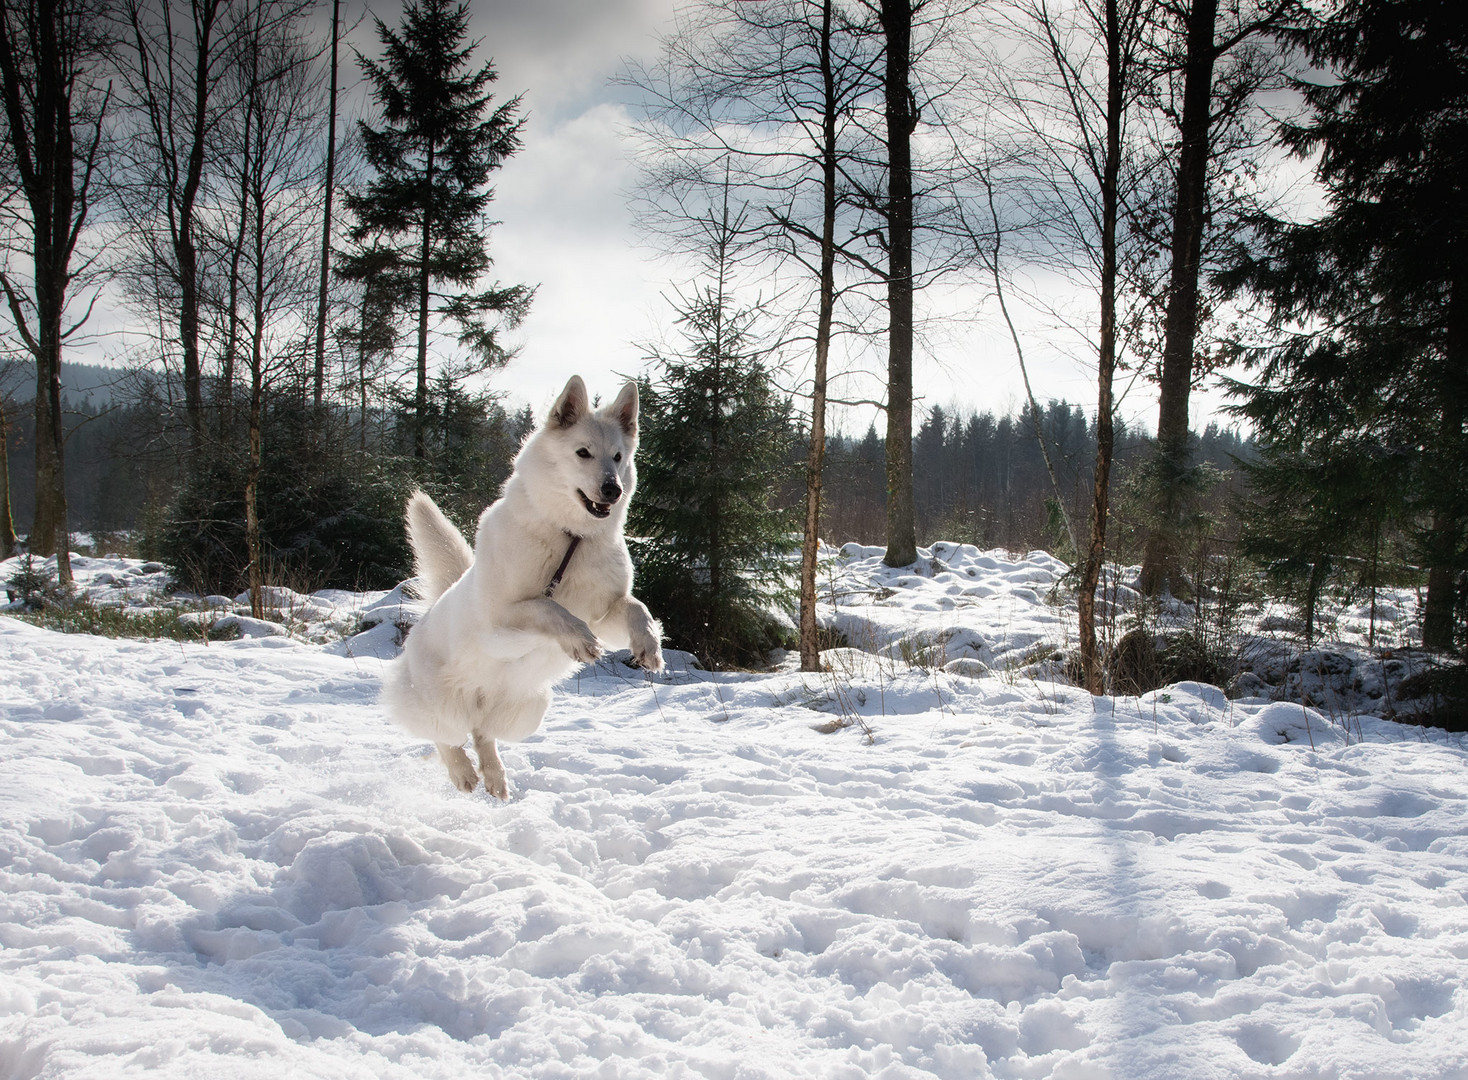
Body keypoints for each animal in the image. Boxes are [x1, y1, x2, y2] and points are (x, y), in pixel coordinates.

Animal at [387, 375, 669, 798]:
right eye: (583, 453)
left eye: (618, 457)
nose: (612, 489)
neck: (570, 538)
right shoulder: (500, 626)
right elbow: (547, 607)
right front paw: (578, 640)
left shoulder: (605, 613)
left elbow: (637, 608)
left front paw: (648, 646)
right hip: (442, 704)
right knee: (445, 736)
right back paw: (463, 773)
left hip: (527, 714)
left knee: (482, 733)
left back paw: (493, 776)